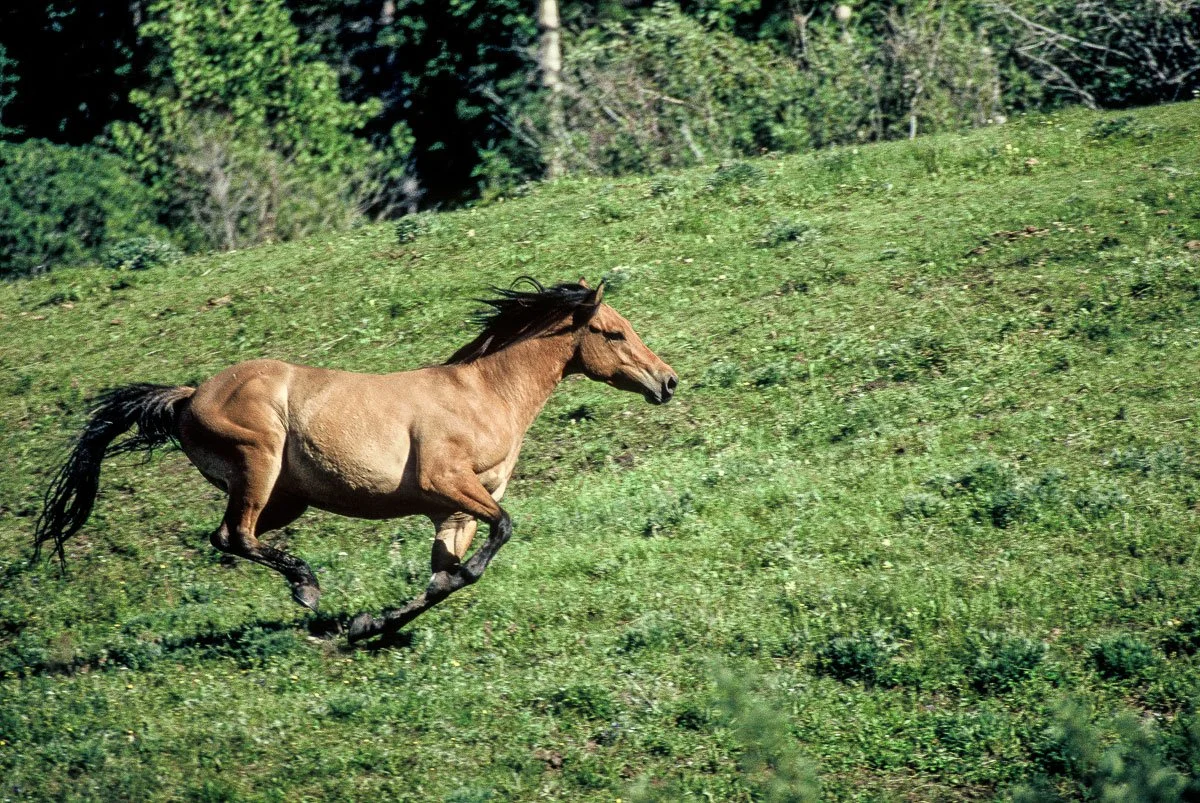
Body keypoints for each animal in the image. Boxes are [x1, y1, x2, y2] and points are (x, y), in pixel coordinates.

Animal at [33, 278, 677, 644]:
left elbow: (444, 579)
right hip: (259, 465)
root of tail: (191, 395)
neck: (484, 394)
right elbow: (500, 534)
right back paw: (308, 587)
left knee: (230, 537)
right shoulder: (447, 483)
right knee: (235, 535)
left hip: (284, 498)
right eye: (614, 333)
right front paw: (363, 621)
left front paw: (371, 626)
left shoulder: (453, 514)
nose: (667, 381)